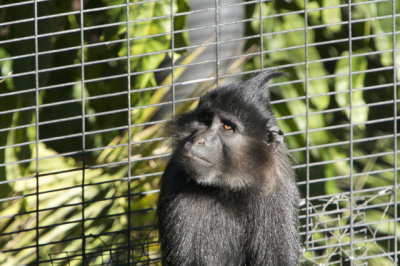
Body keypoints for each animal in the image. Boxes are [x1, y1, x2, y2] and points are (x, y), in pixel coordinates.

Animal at [156, 71, 300, 264]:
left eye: (227, 126)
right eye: (206, 121)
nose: (198, 140)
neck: (229, 188)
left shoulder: (278, 184)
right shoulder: (177, 176)